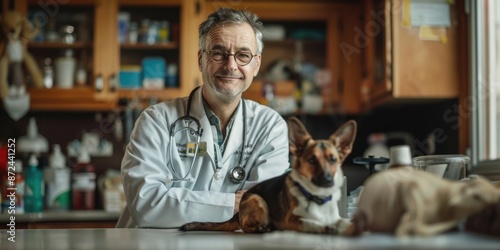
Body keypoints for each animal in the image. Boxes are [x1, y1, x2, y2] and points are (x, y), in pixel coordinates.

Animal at [182, 117, 358, 234]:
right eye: (312, 160)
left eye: (333, 159)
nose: (327, 180)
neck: (317, 197)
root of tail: (237, 214)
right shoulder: (293, 221)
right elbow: (317, 224)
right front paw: (329, 228)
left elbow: (341, 222)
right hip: (258, 200)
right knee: (246, 228)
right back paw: (262, 228)